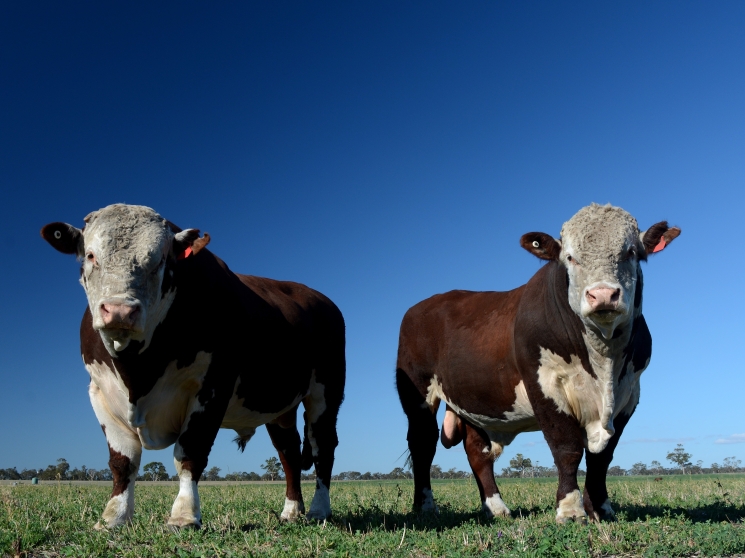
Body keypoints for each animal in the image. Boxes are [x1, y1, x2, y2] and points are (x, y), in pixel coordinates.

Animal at [40, 205, 342, 528]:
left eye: (160, 259)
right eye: (90, 255)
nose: (120, 311)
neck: (137, 371)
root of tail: (315, 296)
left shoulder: (212, 387)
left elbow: (189, 453)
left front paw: (184, 515)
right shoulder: (99, 391)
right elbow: (123, 461)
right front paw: (113, 517)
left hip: (326, 392)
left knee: (322, 447)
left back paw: (319, 509)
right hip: (279, 406)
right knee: (289, 452)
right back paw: (291, 511)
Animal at [396, 205, 680, 524]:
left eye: (631, 252)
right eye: (569, 257)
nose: (603, 295)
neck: (603, 359)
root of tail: (421, 306)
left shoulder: (629, 393)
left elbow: (602, 457)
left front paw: (601, 509)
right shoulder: (544, 385)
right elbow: (567, 449)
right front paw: (570, 509)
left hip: (474, 401)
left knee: (477, 452)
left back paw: (495, 507)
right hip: (418, 394)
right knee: (422, 444)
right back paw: (425, 506)